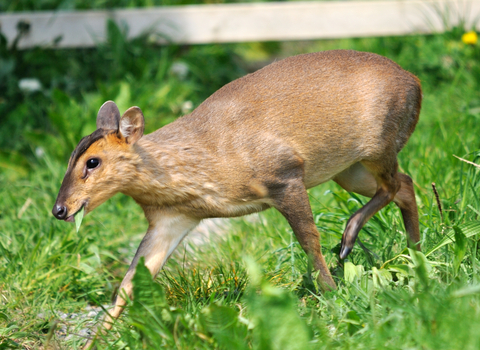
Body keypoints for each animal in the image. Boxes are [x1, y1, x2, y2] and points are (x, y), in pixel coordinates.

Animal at [52, 50, 420, 348]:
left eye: (92, 162)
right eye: (70, 158)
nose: (59, 209)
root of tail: (415, 81)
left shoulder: (284, 175)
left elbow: (309, 240)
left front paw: (331, 294)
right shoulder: (170, 218)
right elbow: (129, 283)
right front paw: (94, 342)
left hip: (378, 144)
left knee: (393, 184)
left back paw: (351, 240)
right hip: (346, 168)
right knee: (406, 184)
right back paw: (416, 254)